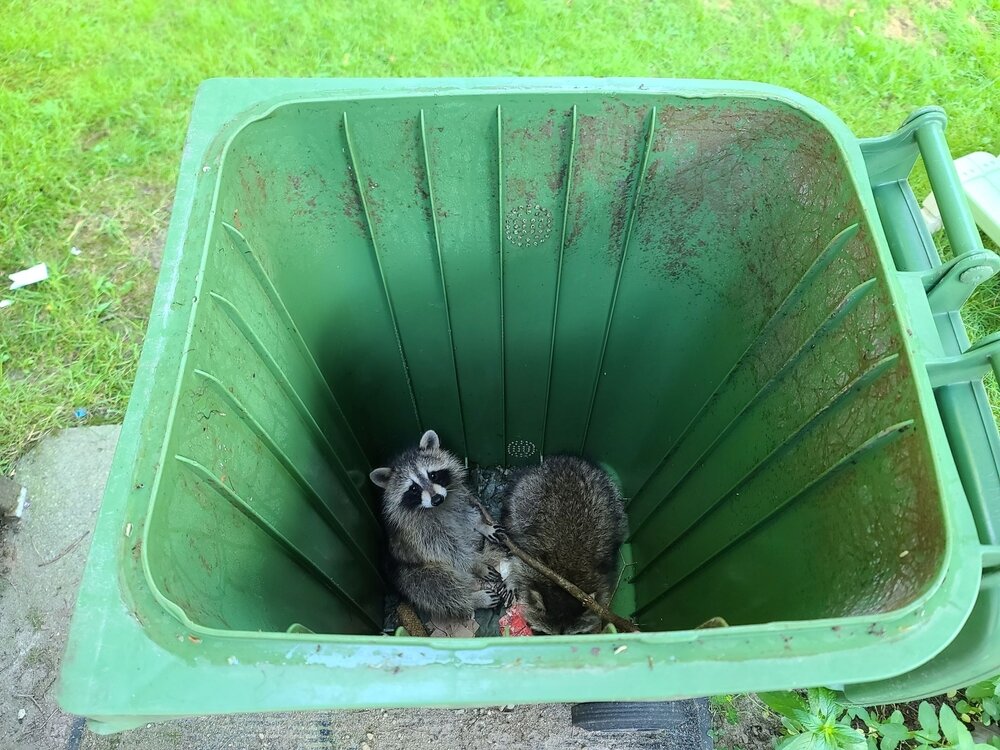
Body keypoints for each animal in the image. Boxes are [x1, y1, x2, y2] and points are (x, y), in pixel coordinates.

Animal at [370, 429, 505, 620]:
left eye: (432, 475)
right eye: (413, 488)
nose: (437, 499)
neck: (439, 508)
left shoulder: (458, 501)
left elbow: (466, 515)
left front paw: (482, 525)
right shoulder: (419, 533)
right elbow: (449, 552)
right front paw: (476, 566)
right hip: (407, 574)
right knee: (436, 587)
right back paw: (472, 599)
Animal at [500, 455, 627, 635]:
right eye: (544, 633)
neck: (565, 578)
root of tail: (564, 459)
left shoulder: (602, 574)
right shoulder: (529, 561)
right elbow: (517, 567)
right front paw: (512, 582)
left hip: (611, 500)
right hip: (522, 494)